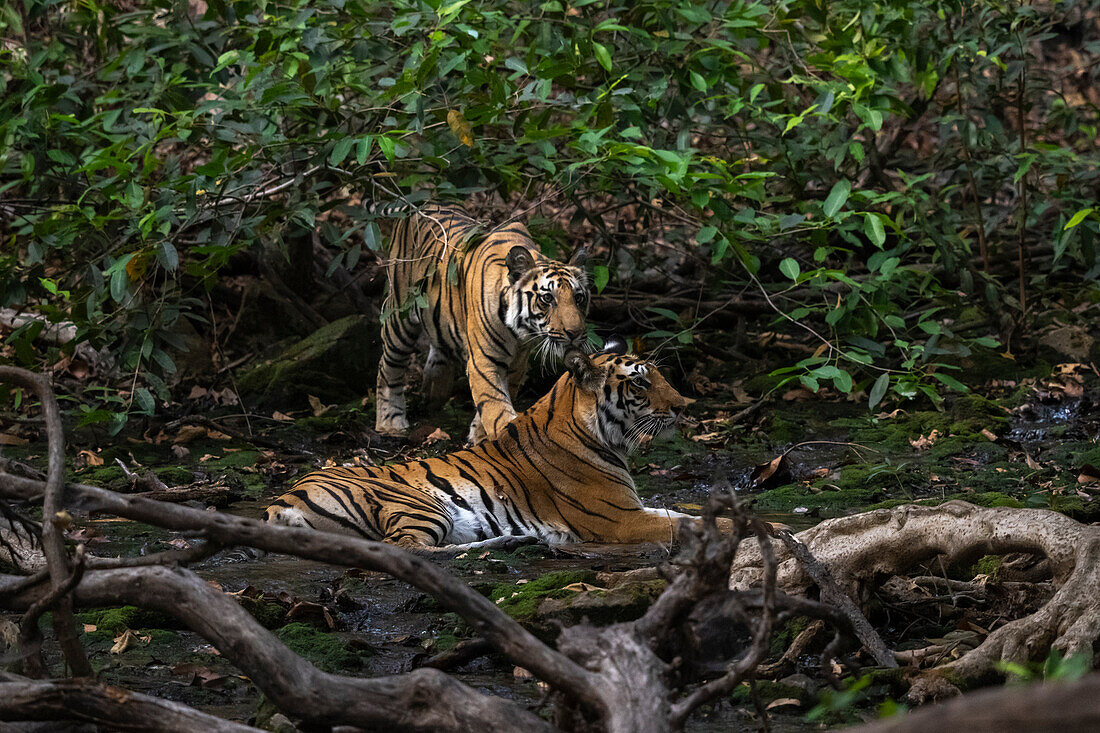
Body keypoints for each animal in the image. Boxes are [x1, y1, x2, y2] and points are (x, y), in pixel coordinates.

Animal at [260, 336, 717, 548]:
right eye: (640, 382)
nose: (684, 406)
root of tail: (280, 502)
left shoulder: (634, 509)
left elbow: (684, 514)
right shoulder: (620, 519)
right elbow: (688, 525)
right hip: (419, 503)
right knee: (408, 550)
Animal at [374, 201, 589, 440]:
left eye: (579, 298)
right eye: (547, 298)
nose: (575, 333)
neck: (519, 332)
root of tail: (422, 205)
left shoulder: (517, 362)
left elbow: (497, 399)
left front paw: (479, 435)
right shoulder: (483, 361)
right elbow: (495, 406)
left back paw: (433, 393)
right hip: (399, 314)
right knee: (388, 366)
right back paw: (390, 423)